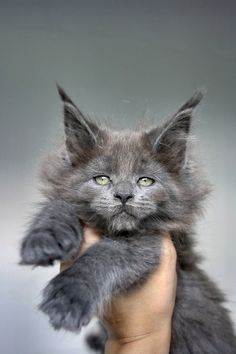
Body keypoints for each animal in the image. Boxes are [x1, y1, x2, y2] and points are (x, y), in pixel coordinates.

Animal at [19, 86, 236, 354]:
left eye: (146, 180)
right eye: (102, 179)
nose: (123, 195)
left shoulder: (152, 243)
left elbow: (107, 253)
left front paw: (68, 298)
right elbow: (59, 204)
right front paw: (43, 239)